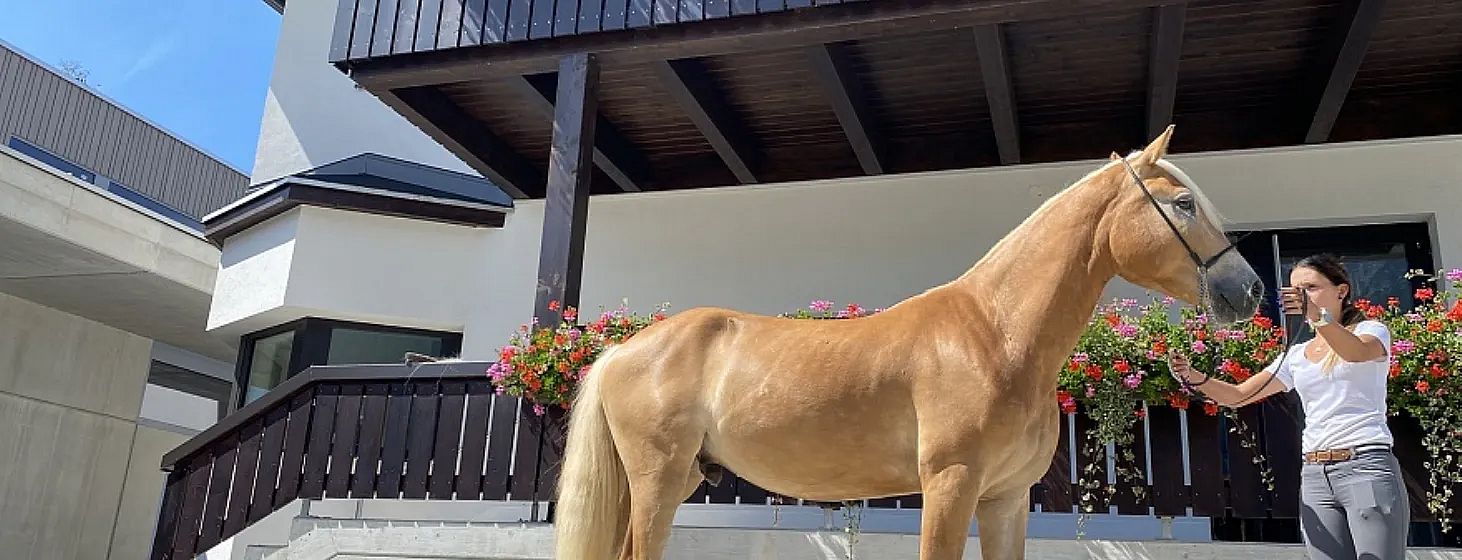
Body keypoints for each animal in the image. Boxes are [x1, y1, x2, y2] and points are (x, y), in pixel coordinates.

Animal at [552, 125, 1264, 559]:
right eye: (1183, 204)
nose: (1250, 289)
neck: (995, 334)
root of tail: (623, 350)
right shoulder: (950, 485)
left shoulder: (1006, 499)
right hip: (658, 480)